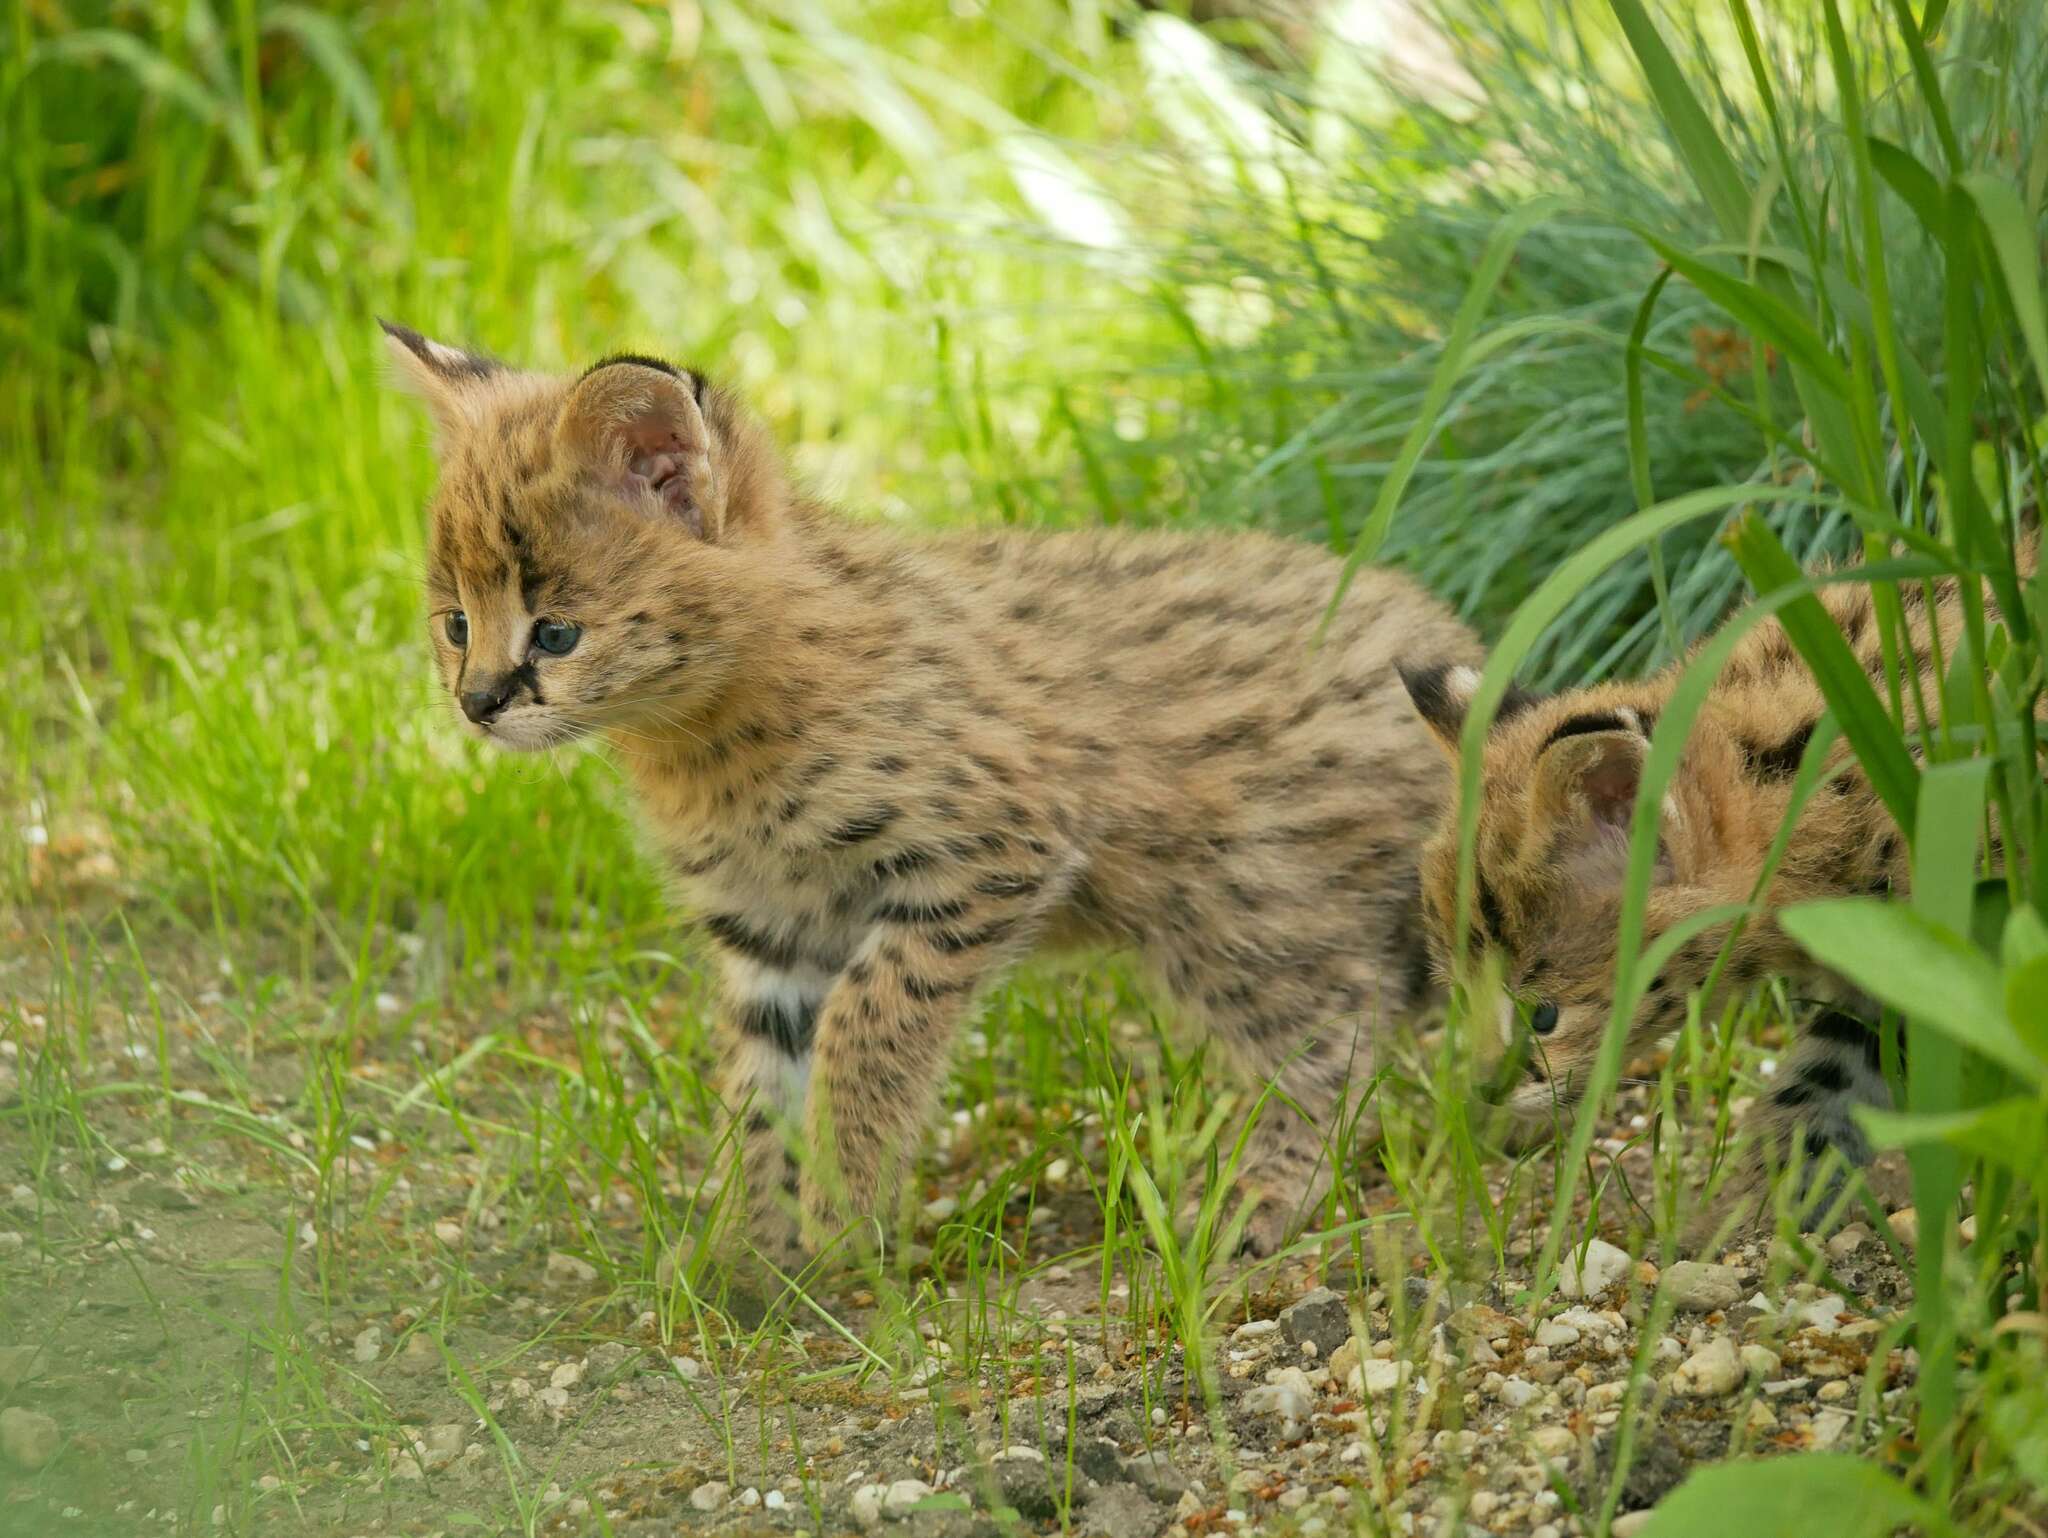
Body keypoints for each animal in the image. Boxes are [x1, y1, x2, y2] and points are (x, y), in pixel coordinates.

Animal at [380, 321, 1474, 1261]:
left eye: (557, 632)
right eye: (455, 623)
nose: (476, 704)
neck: (702, 733)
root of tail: (1452, 632)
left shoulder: (990, 849)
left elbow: (870, 1023)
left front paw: (840, 1202)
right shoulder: (770, 926)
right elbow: (759, 1081)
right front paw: (747, 1251)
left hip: (1239, 904)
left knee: (1340, 1025)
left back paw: (1260, 1192)